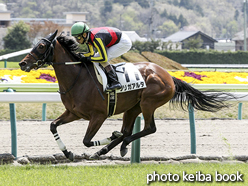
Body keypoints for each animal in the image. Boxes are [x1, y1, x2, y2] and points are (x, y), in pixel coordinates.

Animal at [19, 29, 234, 161]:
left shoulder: (98, 116)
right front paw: (68, 153)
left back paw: (116, 144)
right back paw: (106, 149)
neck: (77, 78)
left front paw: (107, 137)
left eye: (40, 46)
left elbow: (86, 140)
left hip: (148, 103)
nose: (22, 63)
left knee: (148, 129)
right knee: (129, 130)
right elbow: (53, 125)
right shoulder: (74, 113)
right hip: (132, 107)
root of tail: (168, 76)